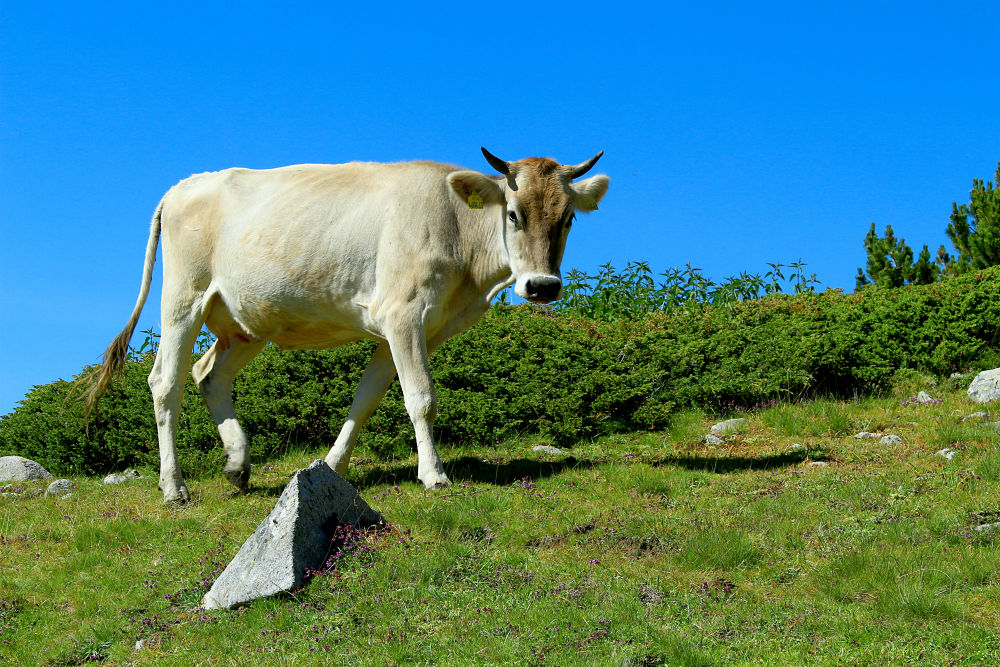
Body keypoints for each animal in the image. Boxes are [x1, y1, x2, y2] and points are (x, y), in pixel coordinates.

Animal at [84, 146, 608, 500]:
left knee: (208, 374)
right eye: (514, 215)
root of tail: (185, 185)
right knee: (165, 382)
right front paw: (434, 474)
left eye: (568, 219)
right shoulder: (404, 312)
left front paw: (333, 465)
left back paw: (237, 464)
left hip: (245, 321)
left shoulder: (415, 326)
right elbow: (421, 398)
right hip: (183, 298)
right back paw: (173, 487)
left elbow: (368, 397)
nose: (542, 286)